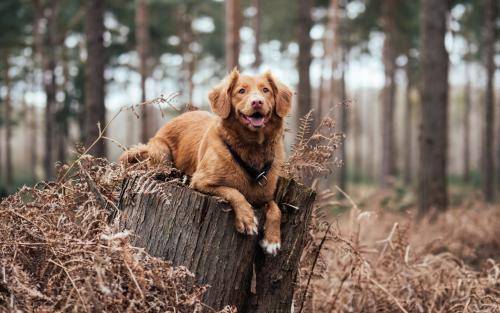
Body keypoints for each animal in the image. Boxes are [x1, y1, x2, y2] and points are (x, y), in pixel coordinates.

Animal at [120, 68, 292, 254]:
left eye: (266, 90)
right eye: (241, 91)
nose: (257, 102)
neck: (252, 147)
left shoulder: (264, 196)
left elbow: (276, 208)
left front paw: (272, 240)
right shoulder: (201, 182)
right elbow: (234, 192)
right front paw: (247, 219)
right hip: (161, 152)